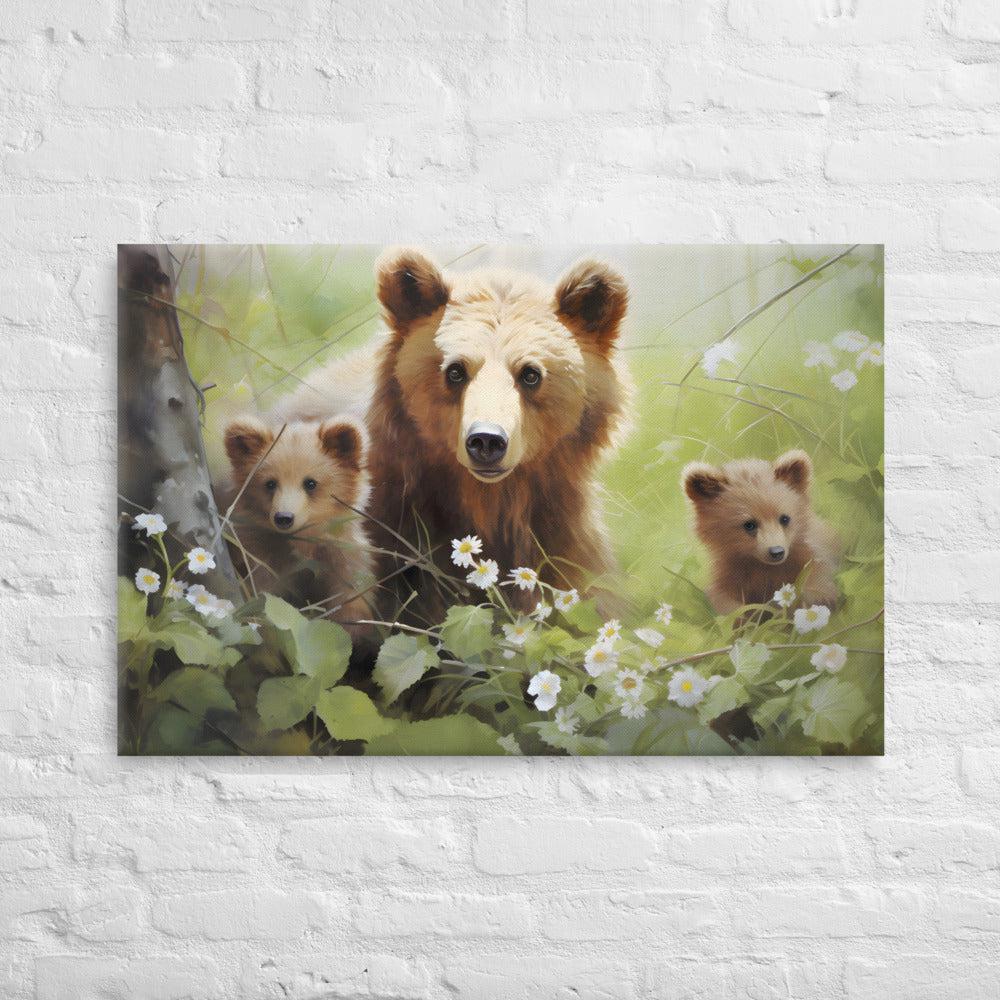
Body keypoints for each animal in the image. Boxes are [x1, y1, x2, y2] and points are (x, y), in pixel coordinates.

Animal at [218, 415, 375, 637]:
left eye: (310, 483)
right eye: (270, 483)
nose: (284, 517)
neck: (302, 543)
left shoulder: (342, 557)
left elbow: (351, 600)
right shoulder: (260, 555)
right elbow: (263, 594)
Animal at [682, 449, 839, 615]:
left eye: (784, 518)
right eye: (749, 524)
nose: (777, 552)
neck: (761, 566)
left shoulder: (806, 554)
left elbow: (816, 572)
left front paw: (821, 598)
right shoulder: (729, 570)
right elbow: (723, 597)